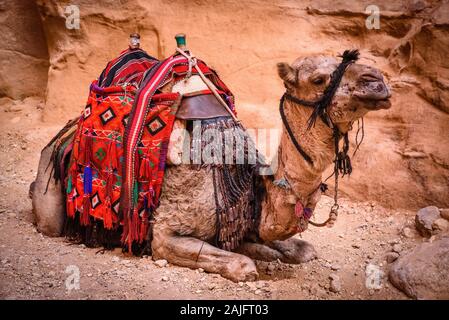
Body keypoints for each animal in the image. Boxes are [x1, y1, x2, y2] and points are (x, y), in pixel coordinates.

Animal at [31, 51, 390, 282]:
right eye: (318, 79)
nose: (377, 82)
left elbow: (302, 249)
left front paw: (272, 248)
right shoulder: (165, 233)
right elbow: (240, 264)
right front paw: (254, 255)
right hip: (50, 192)